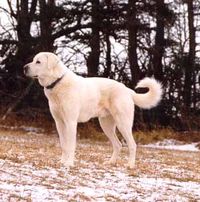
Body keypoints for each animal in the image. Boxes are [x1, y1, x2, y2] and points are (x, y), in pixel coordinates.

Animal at [24, 51, 162, 168]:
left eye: (38, 62)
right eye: (33, 60)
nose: (24, 67)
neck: (57, 82)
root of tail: (128, 90)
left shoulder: (71, 122)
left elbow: (70, 145)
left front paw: (69, 164)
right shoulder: (59, 122)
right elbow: (63, 145)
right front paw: (62, 161)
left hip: (123, 124)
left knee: (132, 145)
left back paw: (130, 165)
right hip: (106, 125)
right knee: (118, 144)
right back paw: (111, 162)